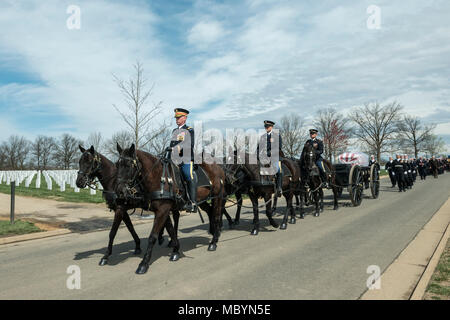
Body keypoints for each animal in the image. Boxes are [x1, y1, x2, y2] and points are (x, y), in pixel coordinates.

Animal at [116, 144, 225, 274]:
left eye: (129, 165)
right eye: (117, 164)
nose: (120, 191)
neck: (158, 177)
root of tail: (217, 166)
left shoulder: (162, 210)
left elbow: (153, 236)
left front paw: (144, 263)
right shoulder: (163, 210)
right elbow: (171, 230)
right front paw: (176, 251)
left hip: (218, 197)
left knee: (217, 216)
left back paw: (213, 242)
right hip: (202, 200)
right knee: (210, 212)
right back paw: (214, 233)